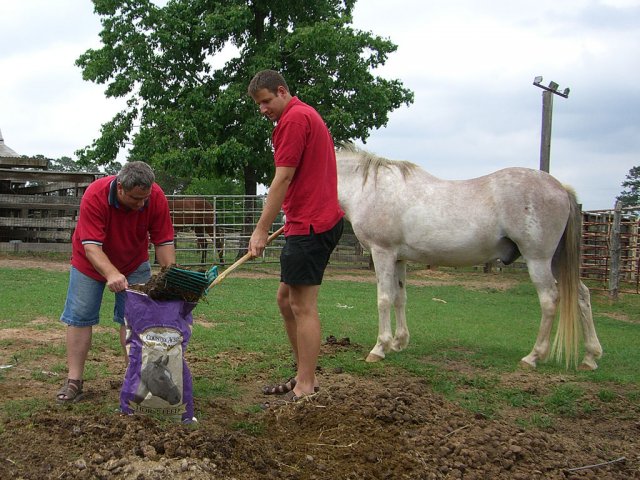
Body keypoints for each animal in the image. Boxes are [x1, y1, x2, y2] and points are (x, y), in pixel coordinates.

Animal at [338, 144, 604, 370]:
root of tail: (561, 189)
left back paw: (533, 357)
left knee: (549, 299)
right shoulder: (399, 258)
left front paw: (379, 348)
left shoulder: (382, 252)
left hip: (538, 260)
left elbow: (384, 299)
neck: (368, 188)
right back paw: (590, 357)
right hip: (557, 261)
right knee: (582, 296)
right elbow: (399, 298)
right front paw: (399, 343)